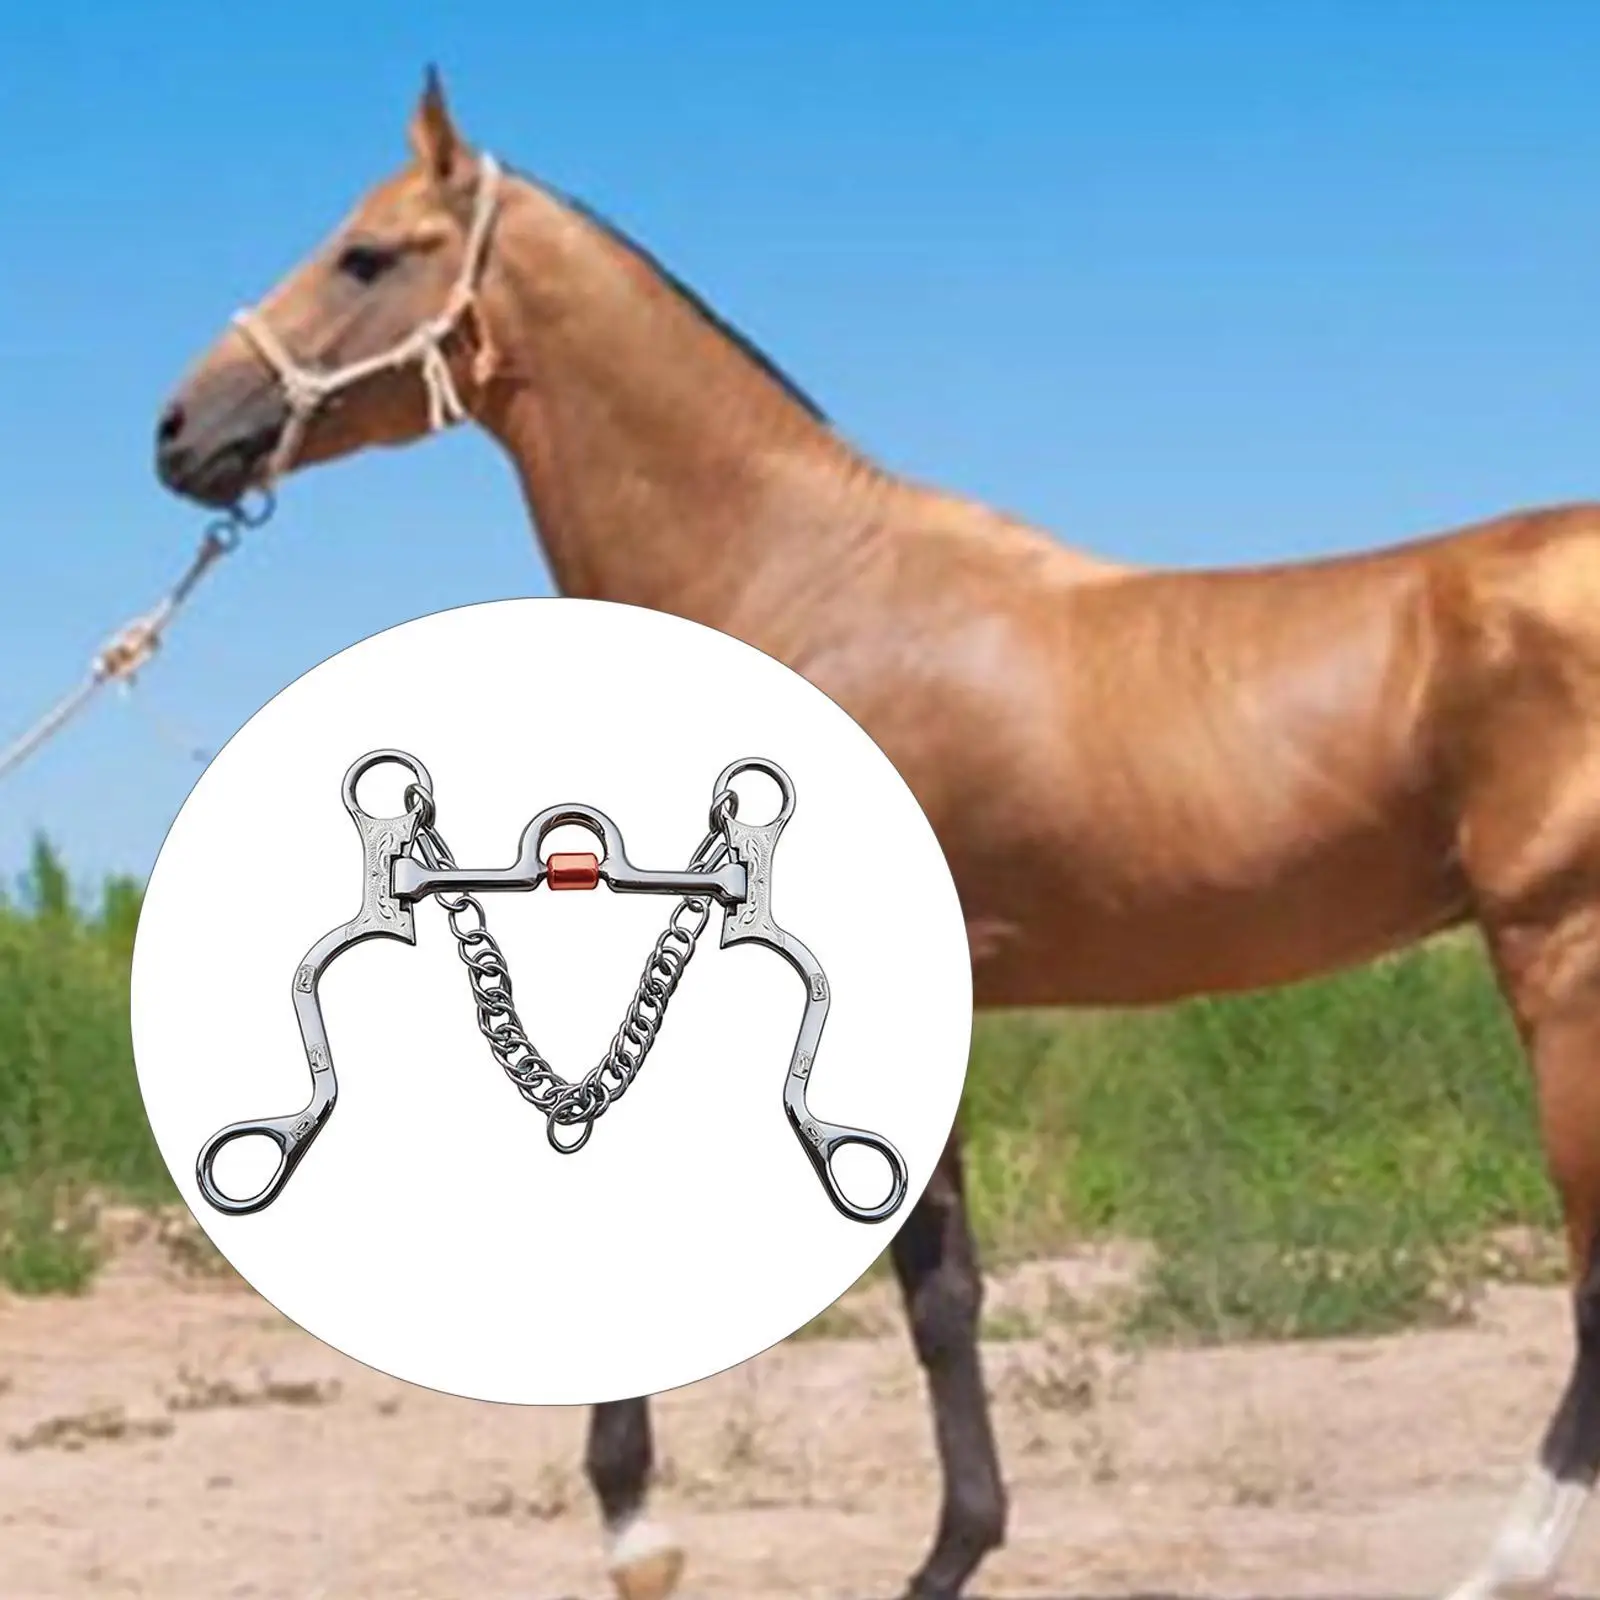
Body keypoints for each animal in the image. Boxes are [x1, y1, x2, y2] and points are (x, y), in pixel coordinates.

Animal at [153, 70, 1600, 1600]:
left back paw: (1506, 1560)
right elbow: (943, 1289)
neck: (803, 575)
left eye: (367, 255)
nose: (179, 429)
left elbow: (911, 1281)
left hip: (1560, 965)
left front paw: (652, 1533)